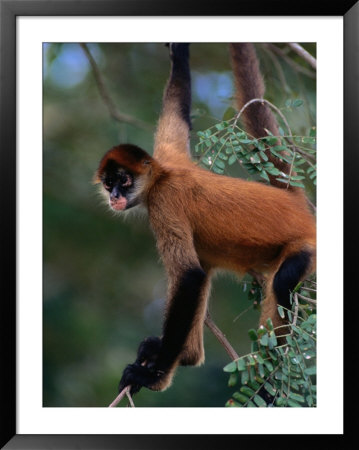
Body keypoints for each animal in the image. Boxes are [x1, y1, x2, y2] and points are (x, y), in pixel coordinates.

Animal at [95, 42, 316, 394]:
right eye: (108, 182)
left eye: (124, 181)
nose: (115, 195)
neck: (162, 176)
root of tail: (293, 202)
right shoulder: (167, 152)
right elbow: (177, 110)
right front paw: (179, 52)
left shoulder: (163, 203)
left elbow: (188, 277)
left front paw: (153, 376)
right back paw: (187, 355)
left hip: (306, 247)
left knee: (280, 283)